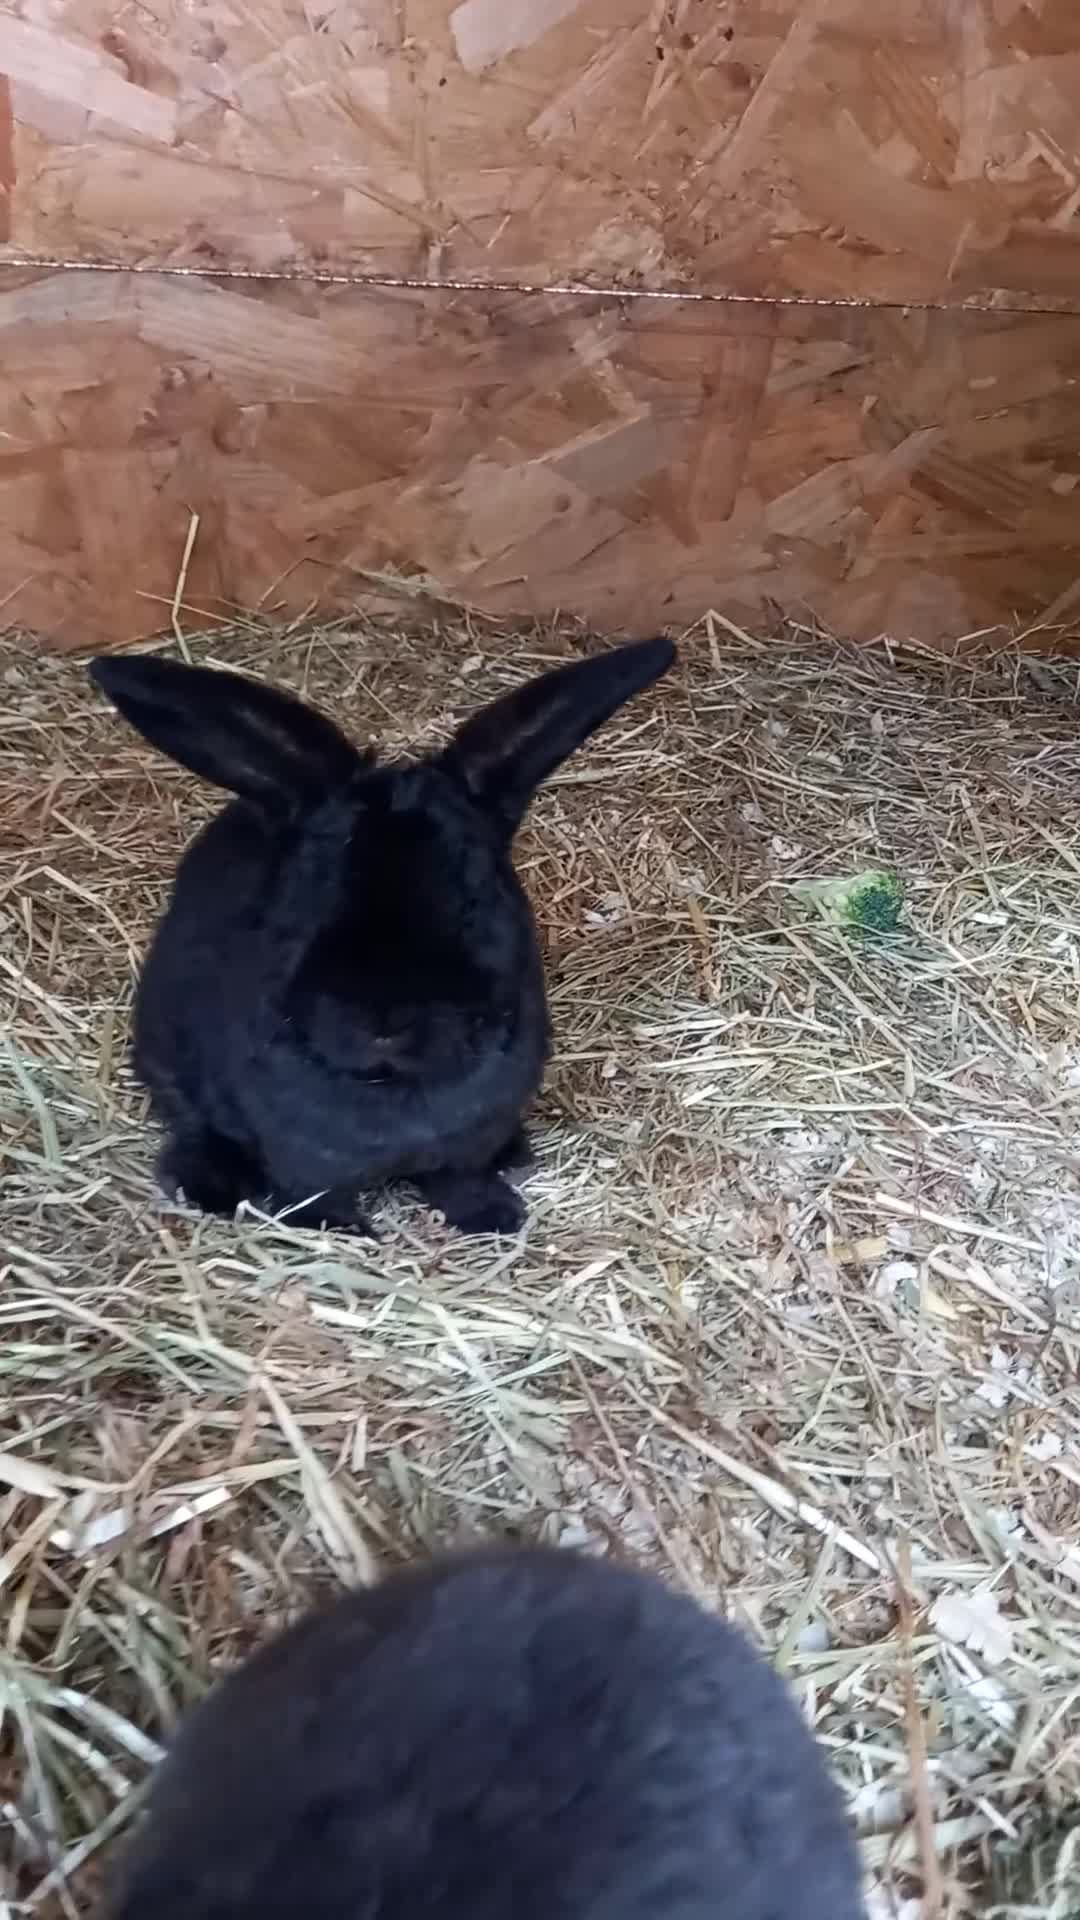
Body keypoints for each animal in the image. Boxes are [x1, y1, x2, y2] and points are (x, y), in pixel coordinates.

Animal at [88, 638, 674, 1237]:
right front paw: (343, 1232)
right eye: (313, 894)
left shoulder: (465, 1148)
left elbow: (460, 1181)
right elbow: (313, 1196)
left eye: (475, 898)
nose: (385, 1022)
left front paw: (495, 1216)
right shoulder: (301, 1159)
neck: (388, 1086)